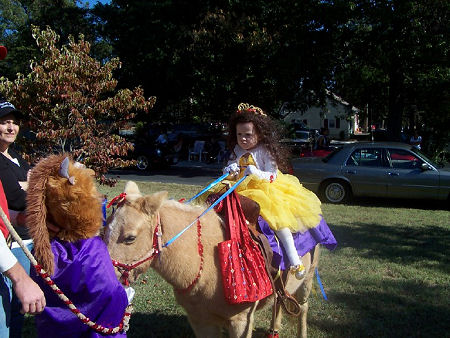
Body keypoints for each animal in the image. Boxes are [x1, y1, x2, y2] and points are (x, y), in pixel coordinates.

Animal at [104, 182, 320, 338]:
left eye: (130, 238)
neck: (206, 258)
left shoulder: (241, 322)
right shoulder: (201, 321)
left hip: (307, 281)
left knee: (303, 309)